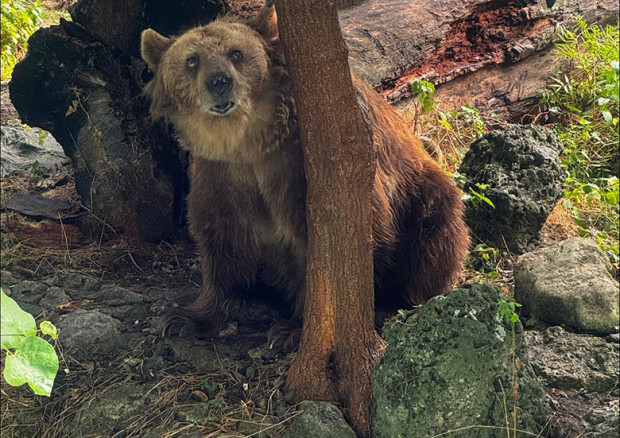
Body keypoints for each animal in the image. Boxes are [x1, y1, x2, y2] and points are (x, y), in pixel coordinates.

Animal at [142, 4, 470, 338]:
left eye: (236, 53)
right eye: (192, 60)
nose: (219, 82)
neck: (250, 143)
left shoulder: (302, 165)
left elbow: (328, 243)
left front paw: (292, 330)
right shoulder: (222, 173)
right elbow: (221, 237)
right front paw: (185, 318)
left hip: (419, 193)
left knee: (434, 227)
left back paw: (392, 304)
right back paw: (258, 303)